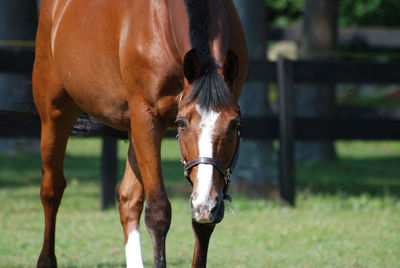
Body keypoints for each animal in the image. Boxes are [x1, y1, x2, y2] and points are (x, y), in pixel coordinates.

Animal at [33, 1, 247, 266]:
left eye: (234, 125)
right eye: (181, 123)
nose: (205, 204)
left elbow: (202, 224)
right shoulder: (146, 116)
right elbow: (158, 212)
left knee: (128, 199)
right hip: (55, 113)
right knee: (51, 189)